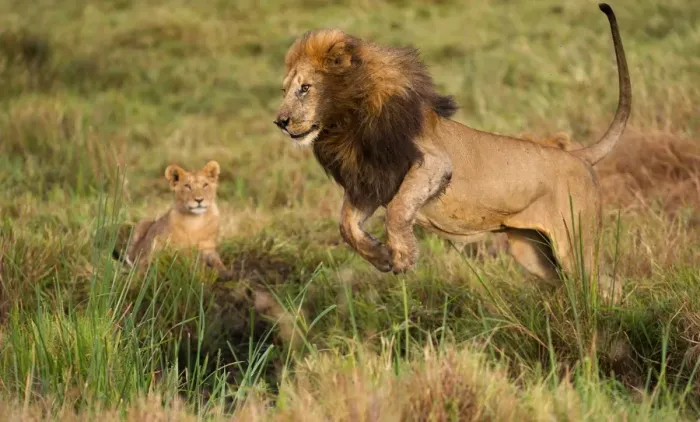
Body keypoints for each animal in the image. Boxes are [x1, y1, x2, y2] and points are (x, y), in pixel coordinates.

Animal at [273, 4, 630, 299]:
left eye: (305, 88)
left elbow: (397, 210)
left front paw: (403, 255)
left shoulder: (433, 163)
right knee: (576, 282)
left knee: (606, 284)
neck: (346, 126)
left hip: (575, 242)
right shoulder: (371, 180)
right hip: (533, 252)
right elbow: (346, 226)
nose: (280, 121)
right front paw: (380, 256)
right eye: (285, 90)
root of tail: (578, 156)